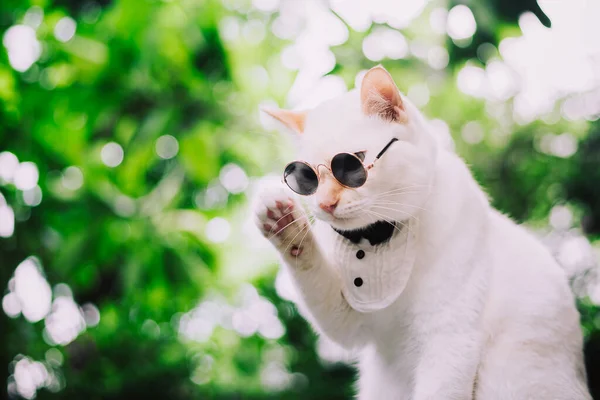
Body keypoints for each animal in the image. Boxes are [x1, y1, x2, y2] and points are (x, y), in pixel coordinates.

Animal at [254, 66, 592, 400]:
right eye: (305, 177)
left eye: (352, 165)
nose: (324, 203)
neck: (382, 235)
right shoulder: (351, 322)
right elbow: (310, 270)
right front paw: (282, 220)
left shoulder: (450, 341)